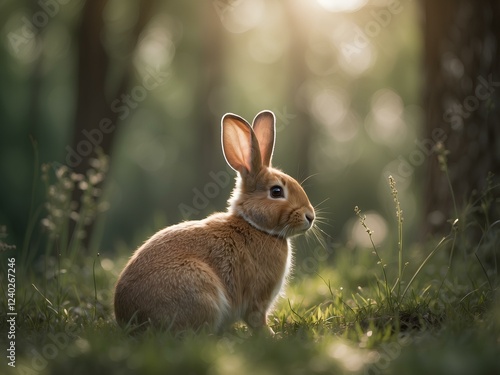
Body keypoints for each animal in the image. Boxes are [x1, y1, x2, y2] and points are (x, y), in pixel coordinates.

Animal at [115, 109, 314, 334]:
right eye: (277, 191)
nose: (310, 216)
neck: (255, 226)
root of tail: (129, 317)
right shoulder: (257, 298)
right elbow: (256, 319)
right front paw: (271, 336)